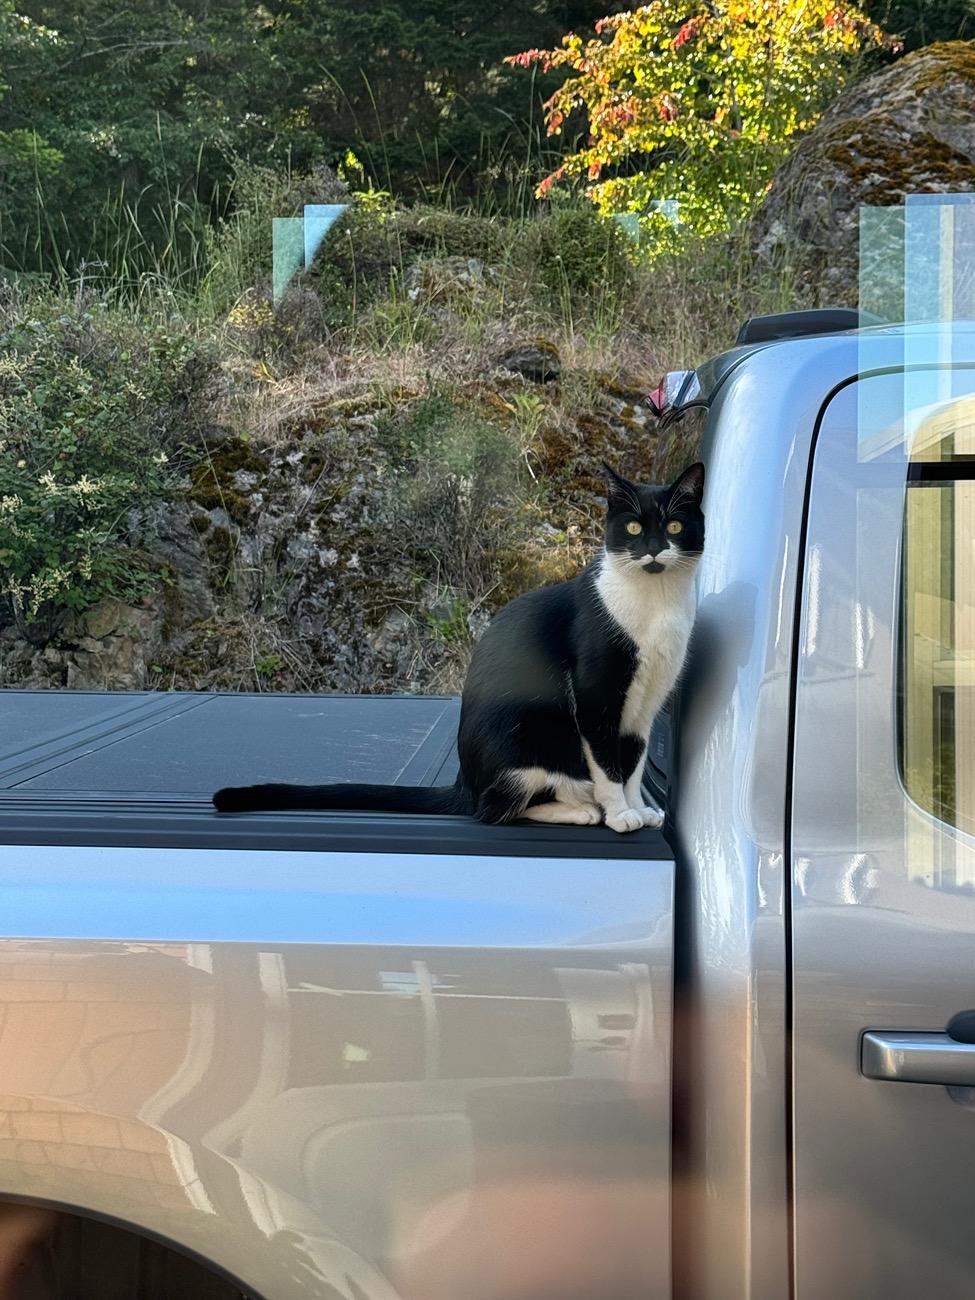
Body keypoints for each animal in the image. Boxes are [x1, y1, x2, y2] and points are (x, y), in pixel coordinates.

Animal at [215, 462, 702, 832]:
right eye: (634, 526)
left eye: (675, 525)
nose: (654, 550)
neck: (656, 606)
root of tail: (463, 781)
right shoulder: (597, 698)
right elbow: (607, 765)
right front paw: (620, 814)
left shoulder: (644, 706)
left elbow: (633, 764)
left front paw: (638, 807)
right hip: (525, 741)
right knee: (493, 809)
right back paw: (581, 811)